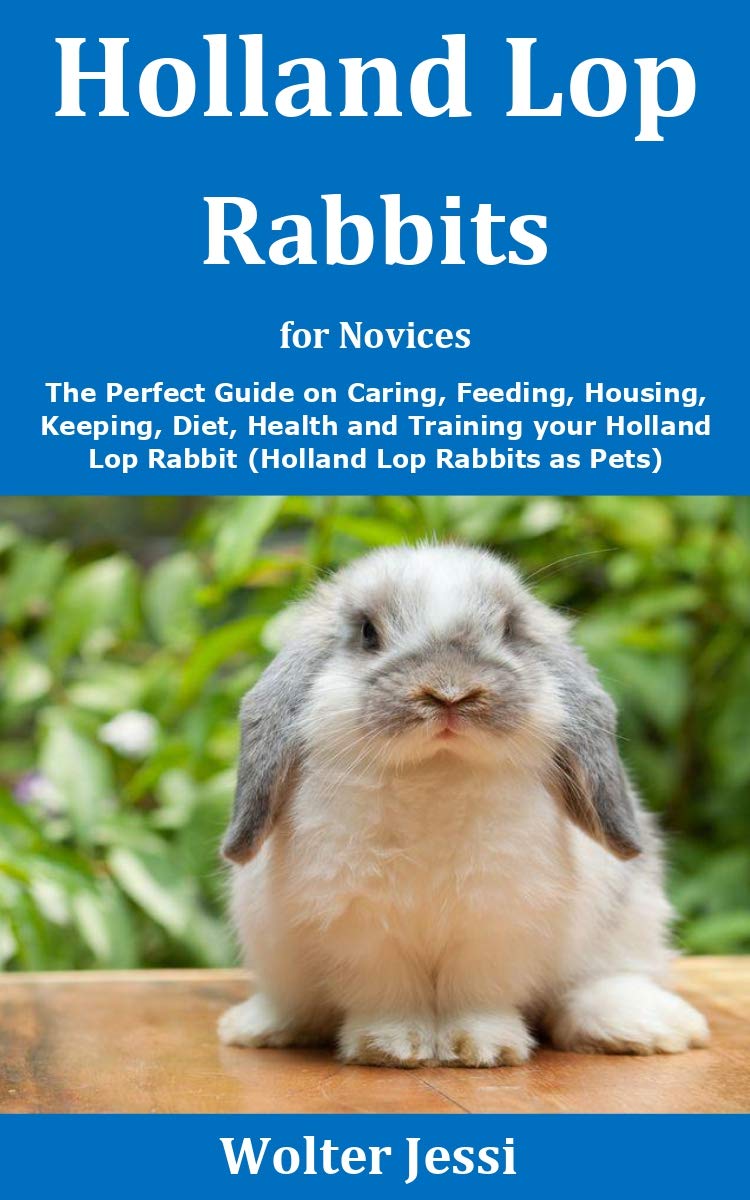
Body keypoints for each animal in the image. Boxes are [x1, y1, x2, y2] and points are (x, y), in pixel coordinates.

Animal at [218, 543, 708, 1067]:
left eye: (510, 630)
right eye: (369, 632)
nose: (450, 691)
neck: (436, 772)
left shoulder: (496, 922)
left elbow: (476, 993)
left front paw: (481, 1048)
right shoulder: (362, 930)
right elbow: (388, 994)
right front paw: (392, 1047)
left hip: (628, 926)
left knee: (602, 983)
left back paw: (645, 1027)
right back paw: (257, 1026)